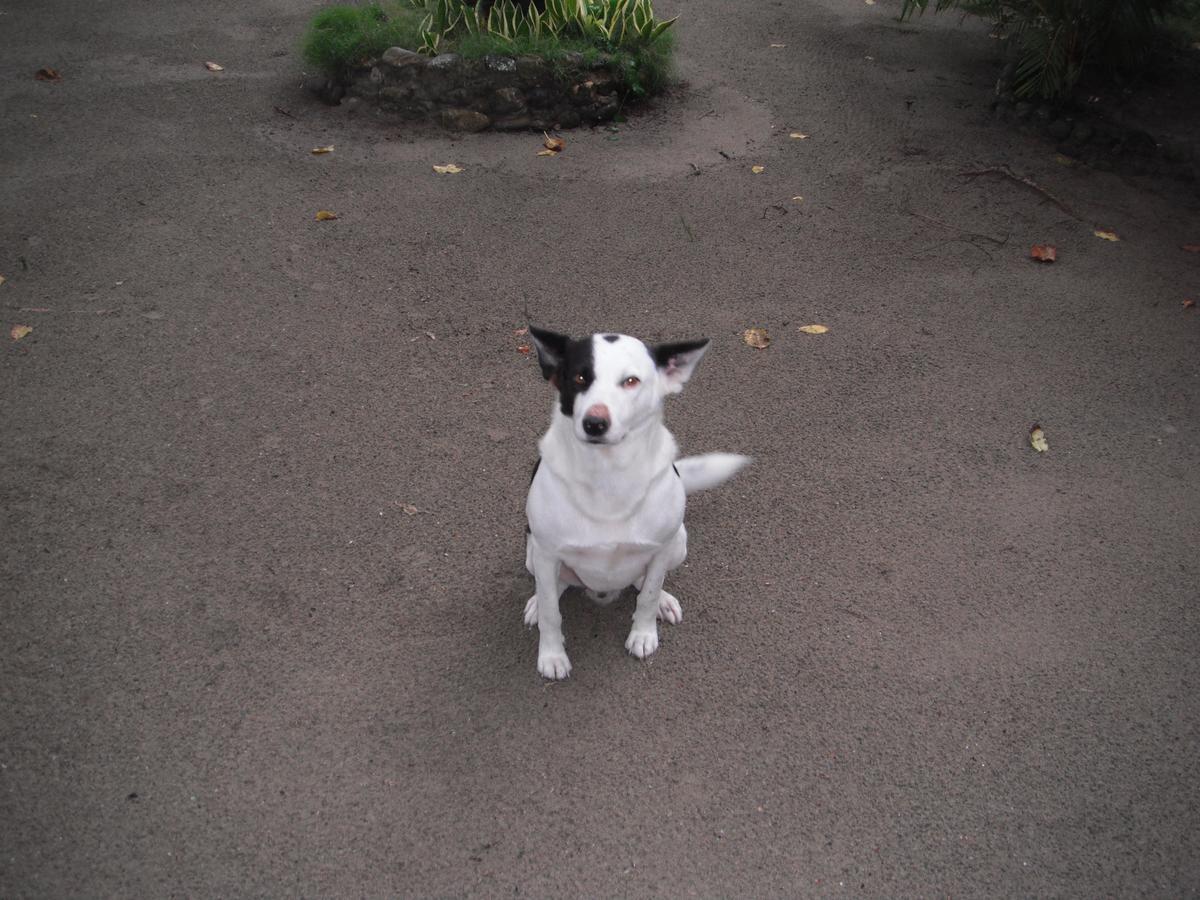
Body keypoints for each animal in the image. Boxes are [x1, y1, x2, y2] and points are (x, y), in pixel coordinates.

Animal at [520, 328, 744, 681]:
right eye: (580, 377)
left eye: (630, 381)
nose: (594, 423)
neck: (608, 475)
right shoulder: (545, 552)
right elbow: (551, 613)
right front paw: (552, 655)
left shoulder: (661, 549)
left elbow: (648, 595)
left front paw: (643, 634)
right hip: (532, 554)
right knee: (553, 587)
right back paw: (536, 603)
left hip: (679, 544)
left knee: (644, 582)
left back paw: (663, 600)